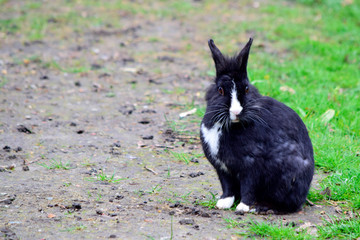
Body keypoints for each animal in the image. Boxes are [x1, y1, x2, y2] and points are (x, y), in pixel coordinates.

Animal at [201, 38, 314, 213]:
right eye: (220, 90)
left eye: (246, 89)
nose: (236, 111)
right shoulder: (222, 169)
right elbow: (227, 187)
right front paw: (223, 203)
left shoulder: (252, 166)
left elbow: (249, 188)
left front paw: (243, 207)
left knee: (288, 206)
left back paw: (261, 207)